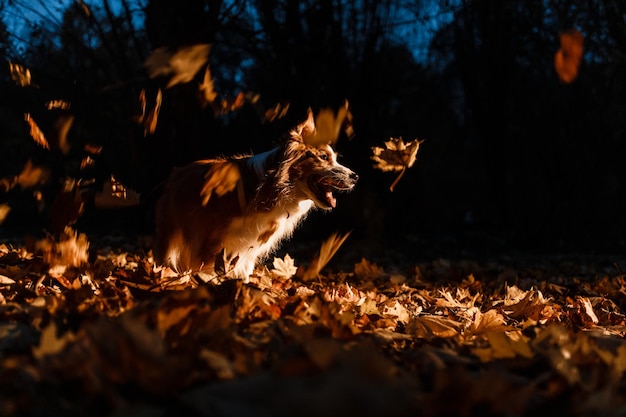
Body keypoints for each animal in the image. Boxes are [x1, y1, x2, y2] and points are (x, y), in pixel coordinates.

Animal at [154, 109, 356, 280]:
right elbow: (207, 269)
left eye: (335, 158)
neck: (272, 185)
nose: (356, 177)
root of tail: (177, 172)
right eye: (324, 157)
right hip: (171, 233)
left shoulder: (248, 246)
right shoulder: (210, 239)